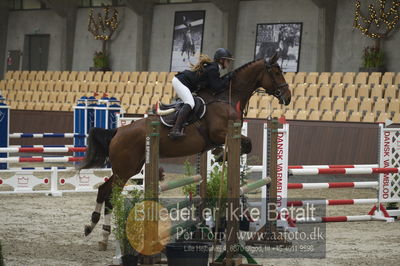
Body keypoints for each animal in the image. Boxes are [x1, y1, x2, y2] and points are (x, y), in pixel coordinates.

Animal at [79, 52, 290, 249]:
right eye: (276, 72)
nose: (287, 97)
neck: (226, 98)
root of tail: (117, 131)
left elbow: (244, 145)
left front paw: (219, 155)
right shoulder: (220, 132)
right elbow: (247, 144)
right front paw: (222, 155)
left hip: (129, 168)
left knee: (103, 190)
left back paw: (92, 227)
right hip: (125, 169)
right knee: (110, 196)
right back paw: (103, 234)